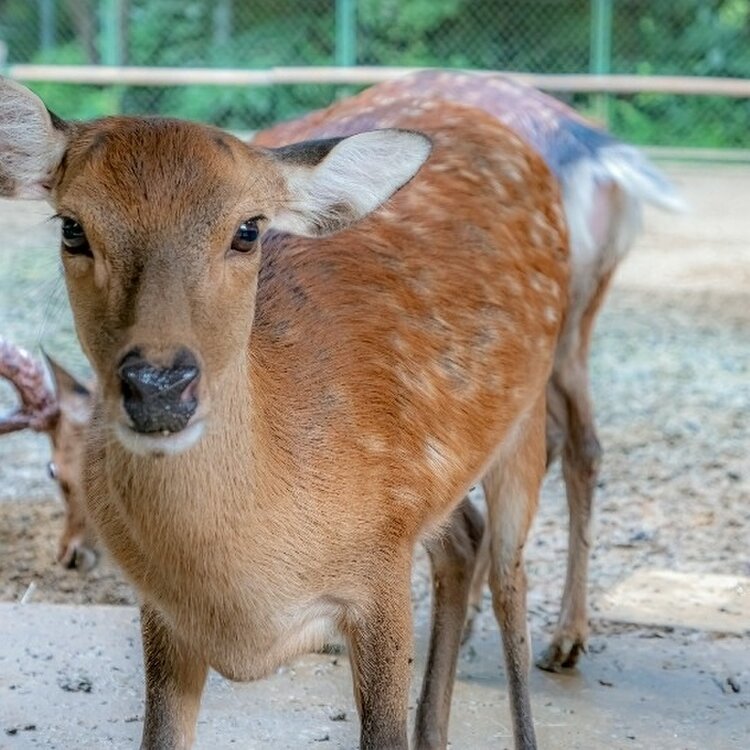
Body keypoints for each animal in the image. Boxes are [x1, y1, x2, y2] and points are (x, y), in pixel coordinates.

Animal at [0, 78, 568, 750]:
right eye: (72, 228)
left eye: (248, 229)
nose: (159, 387)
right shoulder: (162, 612)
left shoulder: (380, 573)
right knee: (461, 543)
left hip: (529, 409)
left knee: (511, 581)